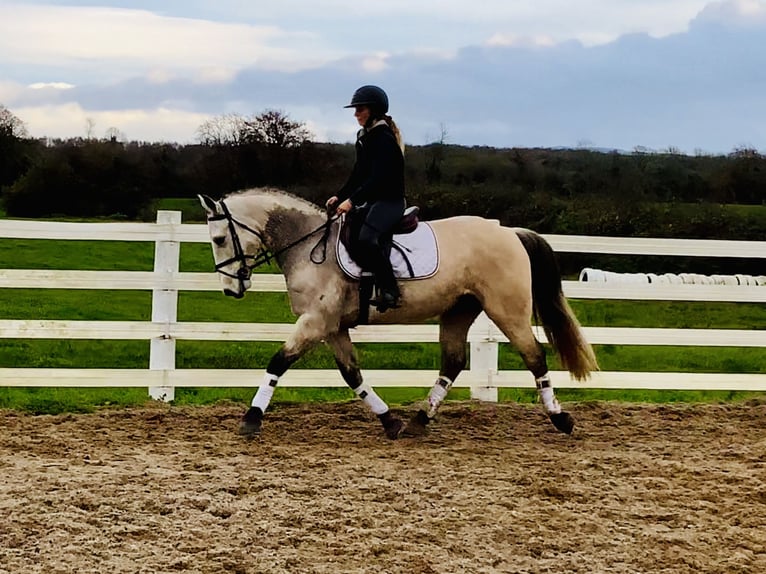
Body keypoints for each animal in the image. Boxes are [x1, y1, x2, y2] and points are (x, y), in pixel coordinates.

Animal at [198, 188, 598, 439]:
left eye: (219, 239)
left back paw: (561, 419)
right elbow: (352, 374)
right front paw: (390, 421)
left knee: (535, 356)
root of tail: (510, 233)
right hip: (459, 311)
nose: (231, 289)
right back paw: (420, 420)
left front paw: (251, 419)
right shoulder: (332, 327)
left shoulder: (315, 322)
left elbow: (279, 362)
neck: (309, 244)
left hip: (507, 310)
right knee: (453, 362)